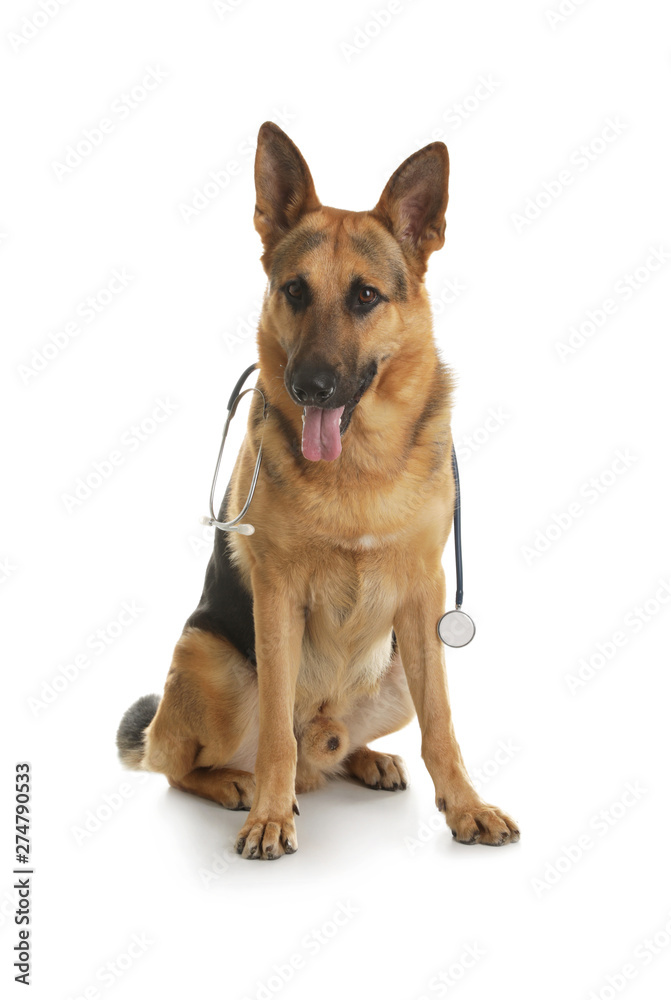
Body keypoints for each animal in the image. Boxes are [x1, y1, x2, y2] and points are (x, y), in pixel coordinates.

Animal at [118, 123, 524, 860]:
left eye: (365, 296)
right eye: (294, 291)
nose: (310, 387)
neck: (356, 465)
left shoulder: (422, 597)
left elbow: (442, 726)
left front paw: (464, 807)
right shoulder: (276, 597)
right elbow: (276, 731)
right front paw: (269, 818)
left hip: (397, 669)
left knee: (343, 747)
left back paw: (363, 759)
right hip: (212, 662)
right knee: (186, 763)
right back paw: (238, 784)